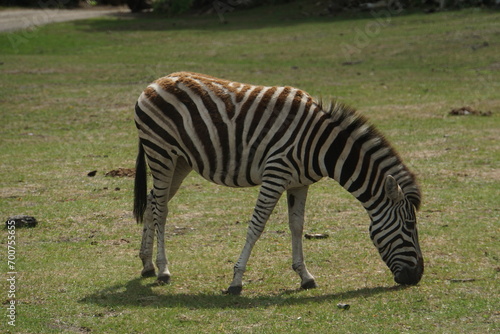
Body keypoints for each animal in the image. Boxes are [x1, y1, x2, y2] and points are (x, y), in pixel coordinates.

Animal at [133, 71, 422, 294]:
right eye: (409, 226)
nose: (417, 276)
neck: (322, 146)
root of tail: (156, 81)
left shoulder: (299, 183)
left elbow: (297, 225)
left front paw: (305, 276)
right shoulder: (275, 174)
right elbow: (257, 226)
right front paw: (236, 280)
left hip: (180, 162)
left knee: (151, 202)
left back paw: (147, 265)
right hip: (161, 153)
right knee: (161, 209)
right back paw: (163, 270)